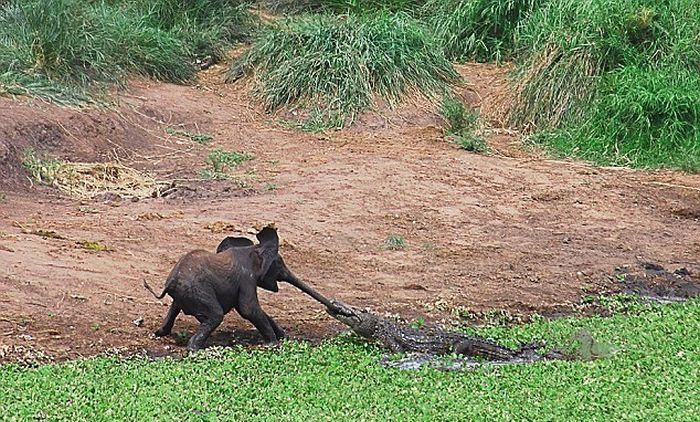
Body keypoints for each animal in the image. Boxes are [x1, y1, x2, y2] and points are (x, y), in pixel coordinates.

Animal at [145, 226, 298, 352]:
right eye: (279, 263)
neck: (253, 248)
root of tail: (170, 282)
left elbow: (250, 310)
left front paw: (284, 337)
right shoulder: (246, 278)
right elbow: (248, 309)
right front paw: (274, 345)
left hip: (186, 294)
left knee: (177, 308)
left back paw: (160, 333)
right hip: (197, 291)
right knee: (216, 315)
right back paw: (194, 350)